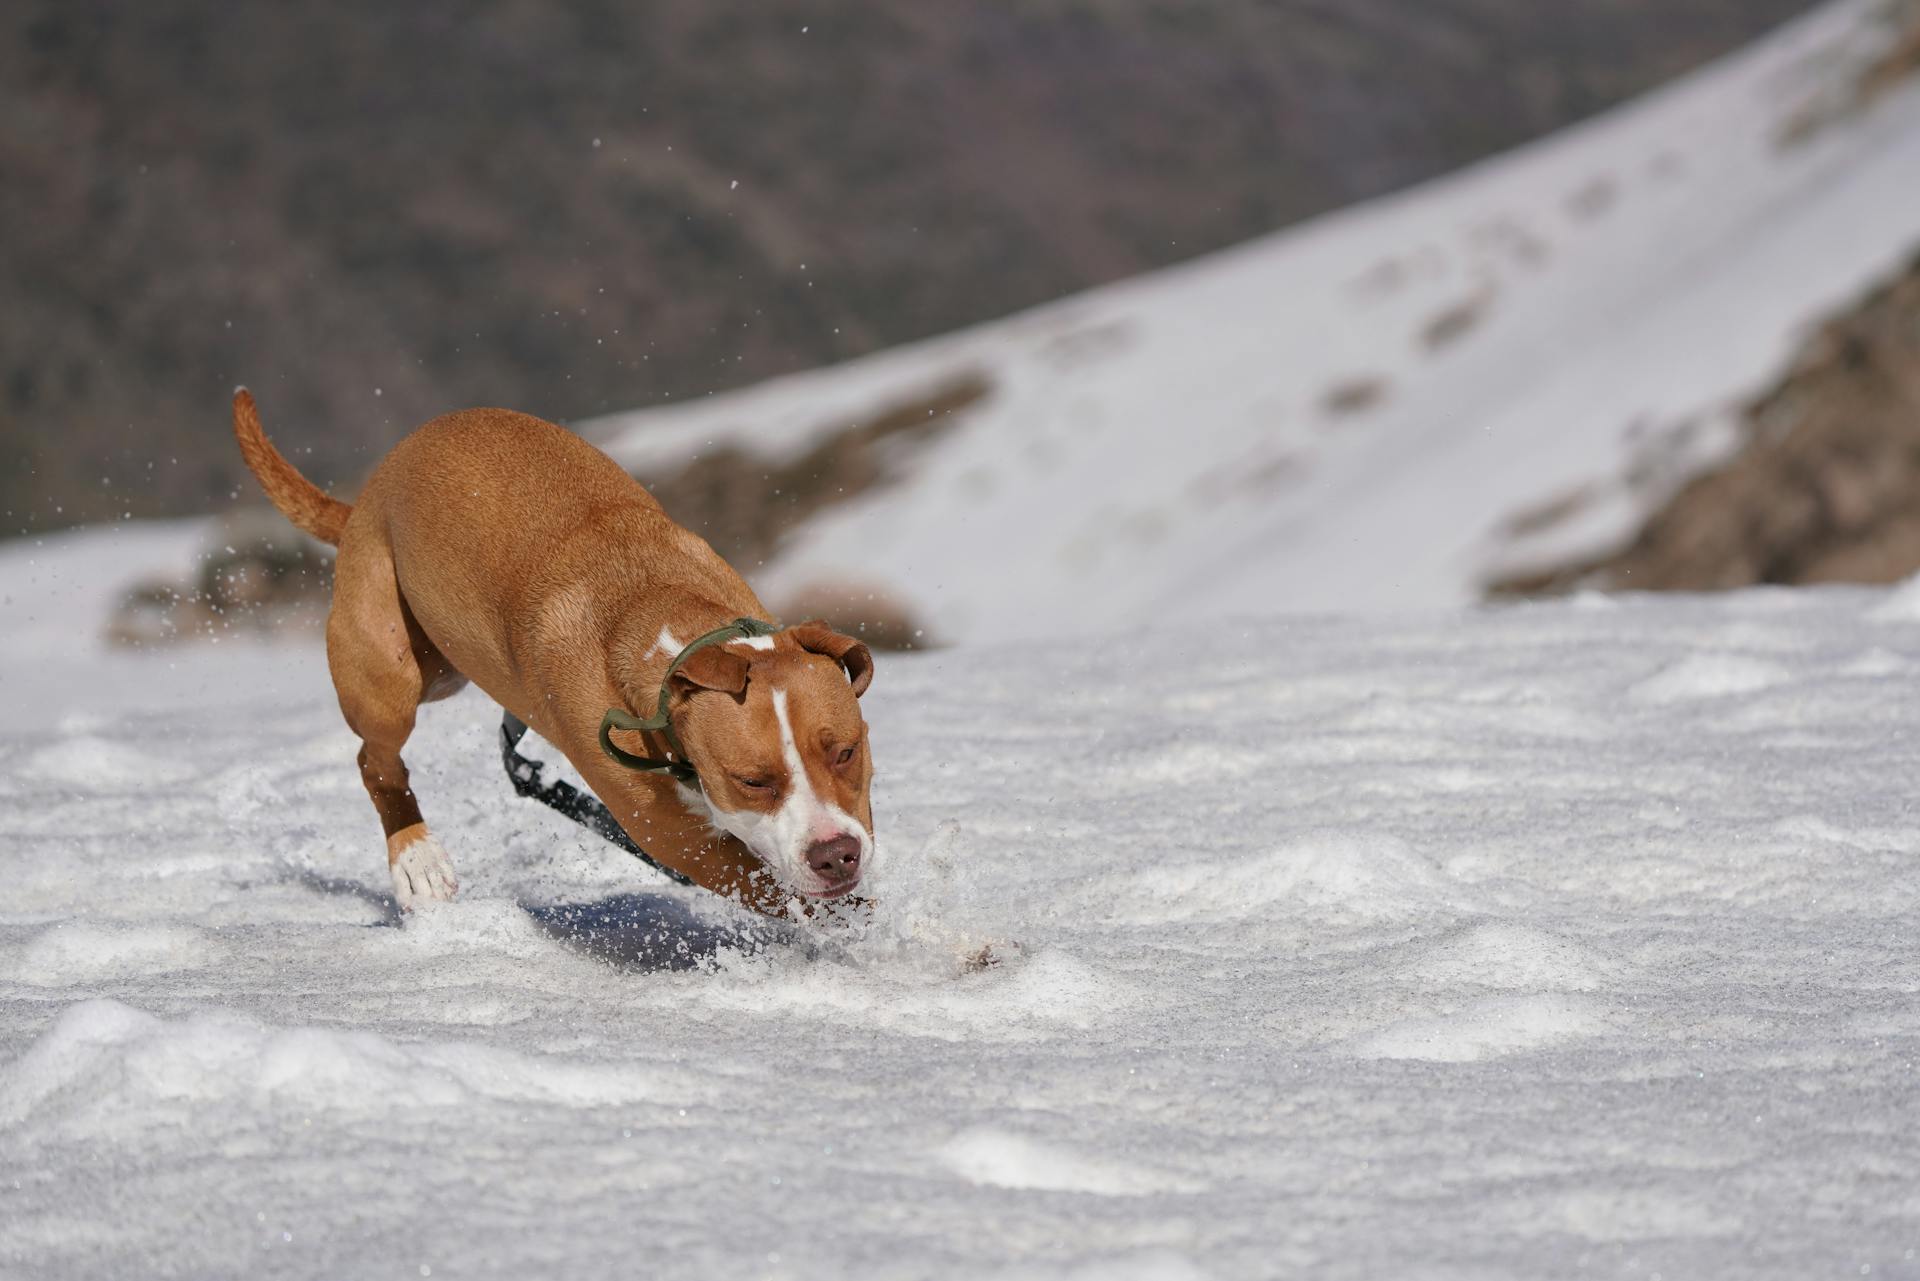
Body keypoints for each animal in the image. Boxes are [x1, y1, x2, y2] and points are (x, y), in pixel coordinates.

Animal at [230, 386, 879, 918]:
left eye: (846, 752)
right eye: (752, 781)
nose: (835, 854)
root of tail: (366, 498)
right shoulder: (674, 836)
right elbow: (769, 889)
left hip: (446, 662)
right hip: (389, 667)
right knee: (376, 758)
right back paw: (416, 860)